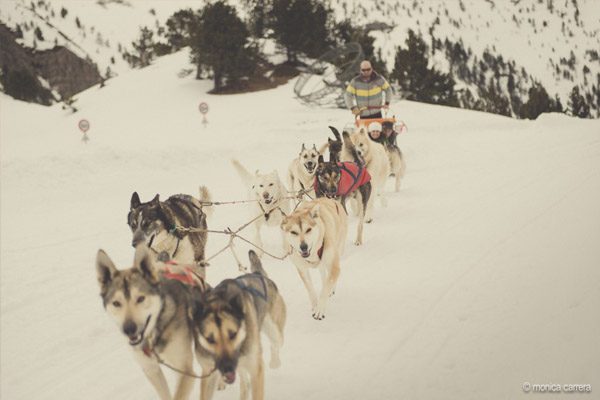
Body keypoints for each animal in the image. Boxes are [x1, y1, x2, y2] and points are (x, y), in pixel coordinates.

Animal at [96, 245, 211, 400]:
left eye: (140, 298)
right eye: (116, 303)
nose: (129, 329)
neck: (152, 337)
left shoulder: (186, 371)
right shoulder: (151, 370)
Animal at [192, 252, 286, 398]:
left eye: (233, 334)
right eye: (210, 339)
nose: (227, 366)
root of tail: (258, 274)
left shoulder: (255, 368)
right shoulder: (208, 371)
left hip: (274, 331)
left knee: (275, 344)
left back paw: (275, 362)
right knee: (245, 382)